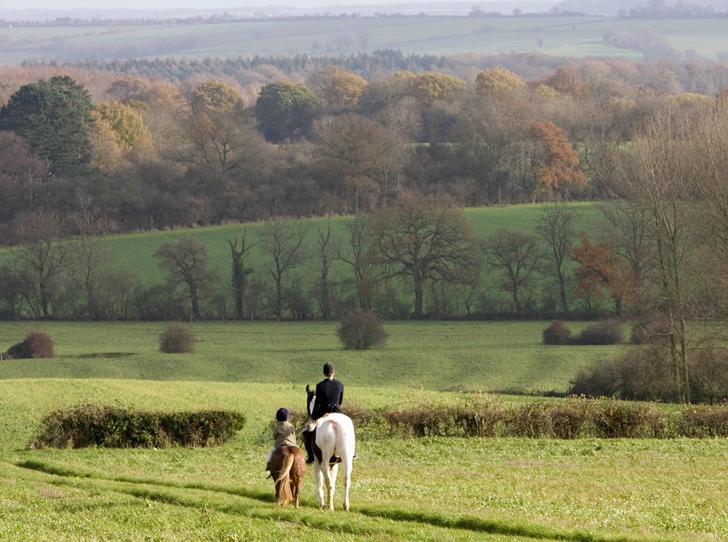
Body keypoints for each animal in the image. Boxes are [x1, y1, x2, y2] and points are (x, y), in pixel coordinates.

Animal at [304, 384, 356, 512]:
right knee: (346, 480)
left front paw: (321, 503)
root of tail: (334, 423)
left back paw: (329, 505)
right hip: (347, 458)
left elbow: (319, 483)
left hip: (323, 460)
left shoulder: (317, 462)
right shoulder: (334, 464)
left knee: (328, 482)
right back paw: (345, 506)